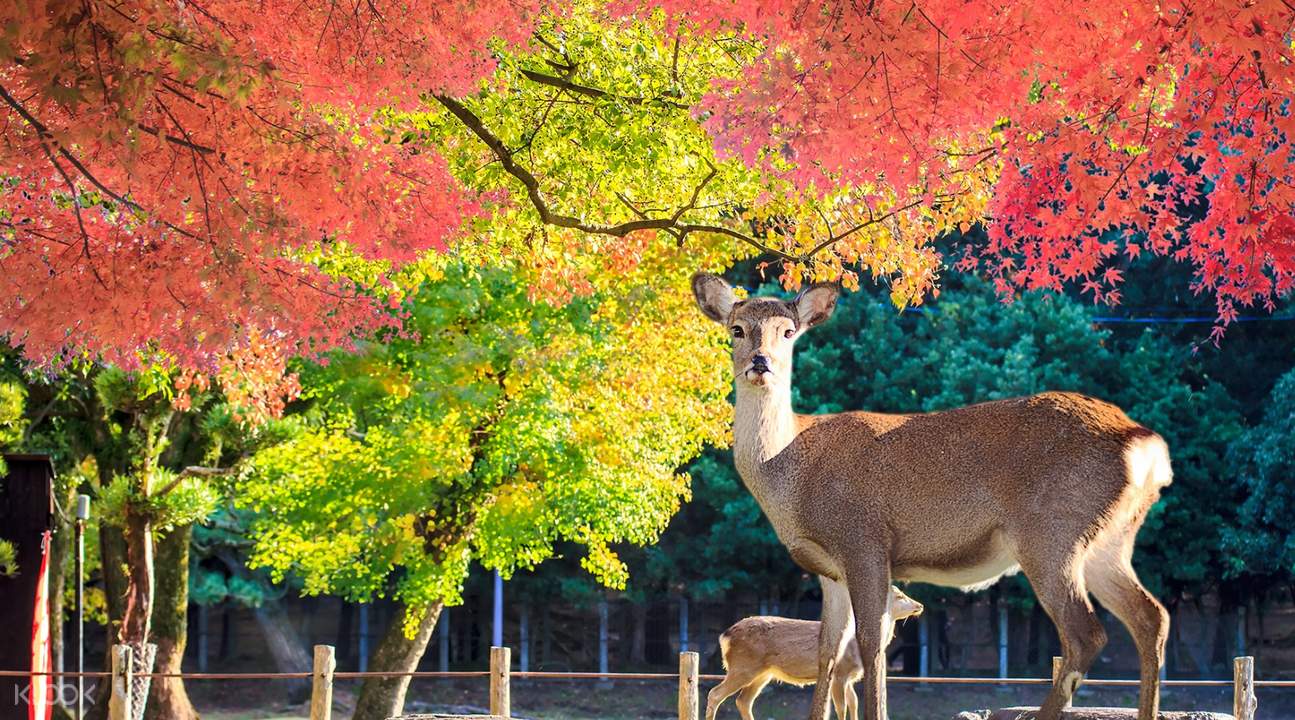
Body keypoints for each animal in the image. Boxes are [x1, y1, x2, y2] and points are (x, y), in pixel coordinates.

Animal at [709, 585, 922, 720]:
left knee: (743, 701)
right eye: (899, 596)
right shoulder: (840, 672)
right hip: (743, 666)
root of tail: (724, 636)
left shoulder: (850, 677)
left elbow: (853, 703)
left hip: (763, 673)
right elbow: (841, 707)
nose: (920, 605)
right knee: (715, 694)